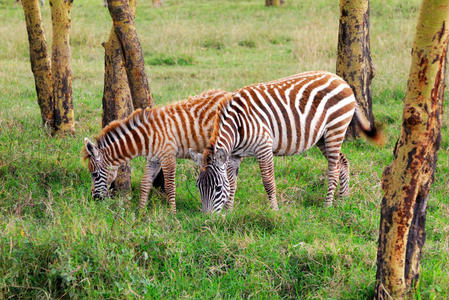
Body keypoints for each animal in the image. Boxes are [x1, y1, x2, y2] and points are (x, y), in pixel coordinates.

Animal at [189, 71, 382, 212]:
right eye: (198, 187)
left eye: (218, 188)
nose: (208, 220)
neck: (236, 125)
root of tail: (342, 81)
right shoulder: (234, 155)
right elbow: (233, 182)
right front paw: (229, 211)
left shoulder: (263, 147)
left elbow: (268, 181)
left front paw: (274, 210)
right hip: (323, 137)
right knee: (343, 162)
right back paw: (343, 200)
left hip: (336, 129)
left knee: (333, 168)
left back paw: (327, 206)